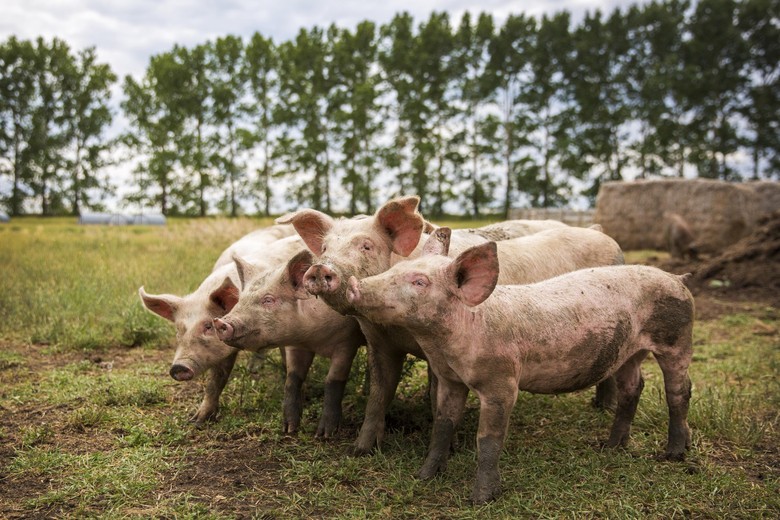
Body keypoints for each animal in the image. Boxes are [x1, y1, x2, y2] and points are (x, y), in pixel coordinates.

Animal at [139, 232, 304, 426]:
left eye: (208, 326)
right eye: (178, 330)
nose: (178, 367)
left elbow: (288, 360)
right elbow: (215, 381)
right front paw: (196, 421)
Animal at [209, 250, 364, 436]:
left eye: (268, 300)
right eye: (240, 300)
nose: (219, 322)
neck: (315, 340)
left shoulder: (347, 341)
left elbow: (333, 380)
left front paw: (325, 434)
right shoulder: (295, 345)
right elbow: (292, 379)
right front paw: (289, 429)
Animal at [344, 229, 692, 504]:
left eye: (419, 282)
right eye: (397, 268)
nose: (353, 284)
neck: (447, 343)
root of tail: (677, 279)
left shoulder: (501, 382)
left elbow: (487, 439)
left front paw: (480, 499)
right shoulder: (449, 379)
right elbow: (442, 426)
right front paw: (424, 477)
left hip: (676, 341)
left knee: (679, 391)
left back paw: (673, 454)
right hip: (629, 353)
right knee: (634, 387)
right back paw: (611, 447)